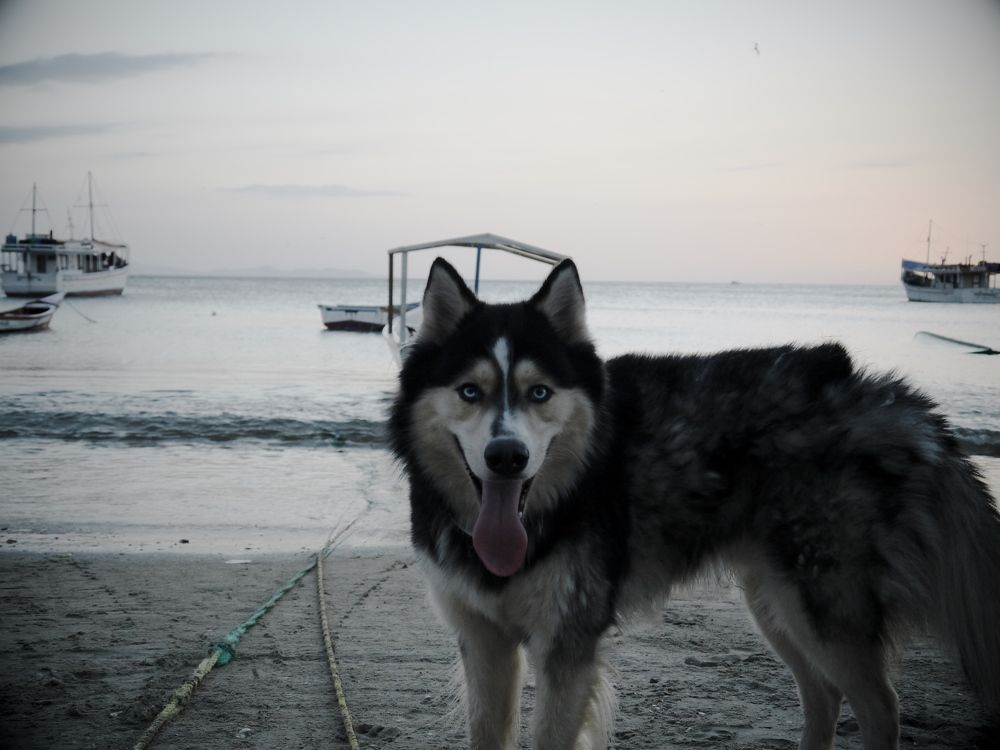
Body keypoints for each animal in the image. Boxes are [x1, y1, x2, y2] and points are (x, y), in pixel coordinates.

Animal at [389, 257, 1000, 749]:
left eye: (539, 393)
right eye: (470, 391)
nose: (507, 458)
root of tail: (885, 397)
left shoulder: (567, 649)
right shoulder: (484, 643)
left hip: (823, 606)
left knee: (881, 710)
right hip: (776, 602)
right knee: (824, 696)